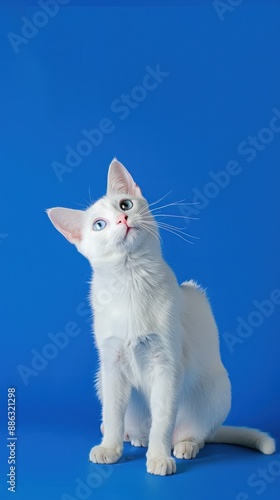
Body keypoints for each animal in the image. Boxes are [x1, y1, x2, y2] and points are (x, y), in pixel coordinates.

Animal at [47, 160, 274, 476]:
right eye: (99, 225)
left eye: (125, 204)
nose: (123, 219)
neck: (131, 280)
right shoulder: (112, 364)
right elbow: (114, 414)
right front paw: (110, 448)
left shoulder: (166, 364)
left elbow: (163, 419)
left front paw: (158, 458)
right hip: (101, 380)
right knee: (128, 423)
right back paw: (130, 437)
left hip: (217, 388)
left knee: (193, 433)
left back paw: (183, 446)